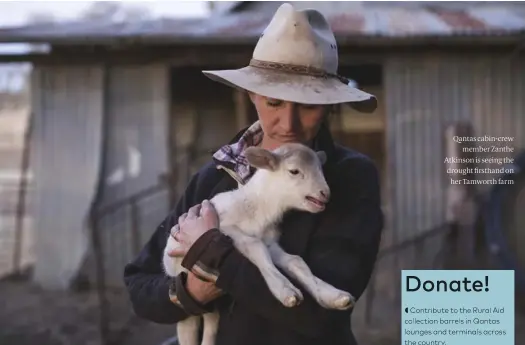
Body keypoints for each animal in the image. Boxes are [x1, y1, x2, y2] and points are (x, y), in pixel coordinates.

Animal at [162, 142, 354, 344]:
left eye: (320, 169)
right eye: (294, 171)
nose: (325, 194)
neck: (258, 207)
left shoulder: (270, 242)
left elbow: (295, 261)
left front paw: (333, 296)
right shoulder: (229, 228)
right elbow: (255, 247)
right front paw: (286, 291)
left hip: (211, 310)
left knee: (211, 326)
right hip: (186, 304)